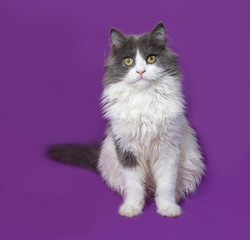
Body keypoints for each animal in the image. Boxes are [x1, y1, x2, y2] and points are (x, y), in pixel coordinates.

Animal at [47, 22, 205, 218]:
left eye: (151, 59)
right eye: (128, 61)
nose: (141, 71)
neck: (143, 98)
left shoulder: (167, 149)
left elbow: (166, 184)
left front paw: (168, 208)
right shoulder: (126, 148)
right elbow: (134, 185)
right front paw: (132, 208)